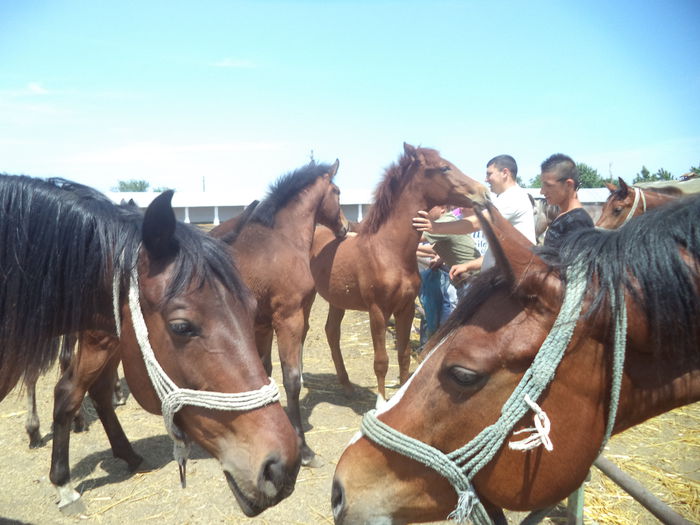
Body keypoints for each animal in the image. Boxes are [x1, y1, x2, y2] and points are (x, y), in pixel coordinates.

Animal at [209, 160, 348, 466]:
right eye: (337, 191)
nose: (345, 227)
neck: (284, 239)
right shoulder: (289, 319)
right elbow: (291, 379)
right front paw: (305, 450)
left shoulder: (262, 324)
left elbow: (267, 371)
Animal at [308, 145, 490, 404]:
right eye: (444, 168)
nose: (484, 193)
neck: (388, 251)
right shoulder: (378, 311)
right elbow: (381, 361)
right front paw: (380, 402)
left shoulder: (406, 308)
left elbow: (403, 355)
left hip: (337, 300)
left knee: (332, 332)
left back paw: (347, 386)